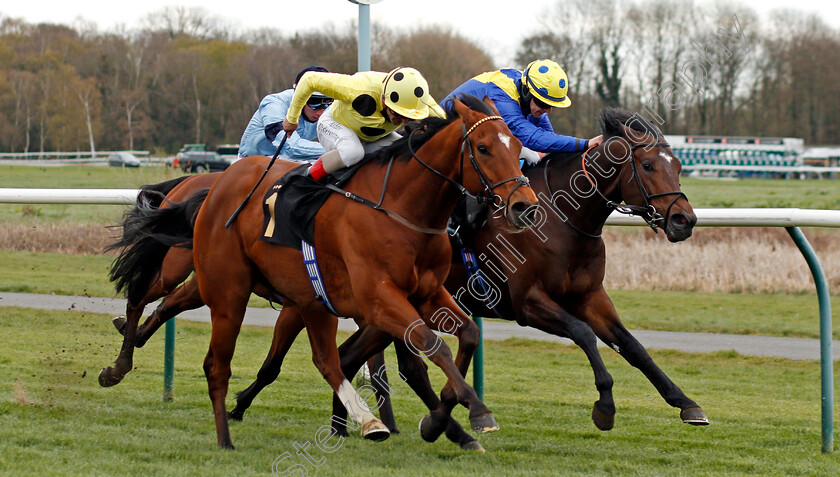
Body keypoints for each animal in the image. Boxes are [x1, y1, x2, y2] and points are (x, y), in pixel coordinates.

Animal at [110, 96, 540, 446]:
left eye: (517, 145)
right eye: (483, 148)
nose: (524, 206)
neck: (401, 209)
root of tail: (215, 184)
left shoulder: (425, 292)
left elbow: (465, 334)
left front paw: (444, 418)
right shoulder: (378, 299)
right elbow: (429, 348)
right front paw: (471, 414)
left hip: (275, 293)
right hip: (215, 280)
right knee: (147, 298)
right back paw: (123, 364)